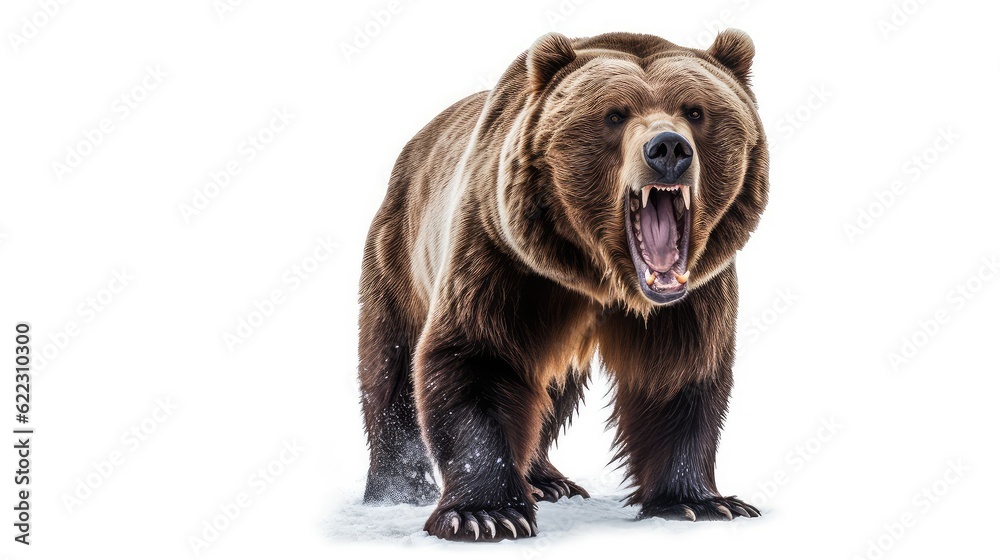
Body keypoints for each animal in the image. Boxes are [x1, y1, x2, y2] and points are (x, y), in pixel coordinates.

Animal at [356, 29, 769, 541]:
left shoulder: (690, 294)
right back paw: (397, 487)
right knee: (390, 366)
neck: (605, 279)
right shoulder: (506, 258)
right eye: (614, 115)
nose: (669, 149)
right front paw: (485, 514)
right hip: (401, 251)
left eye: (696, 111)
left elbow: (678, 373)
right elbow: (479, 357)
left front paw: (701, 502)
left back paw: (548, 480)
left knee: (551, 389)